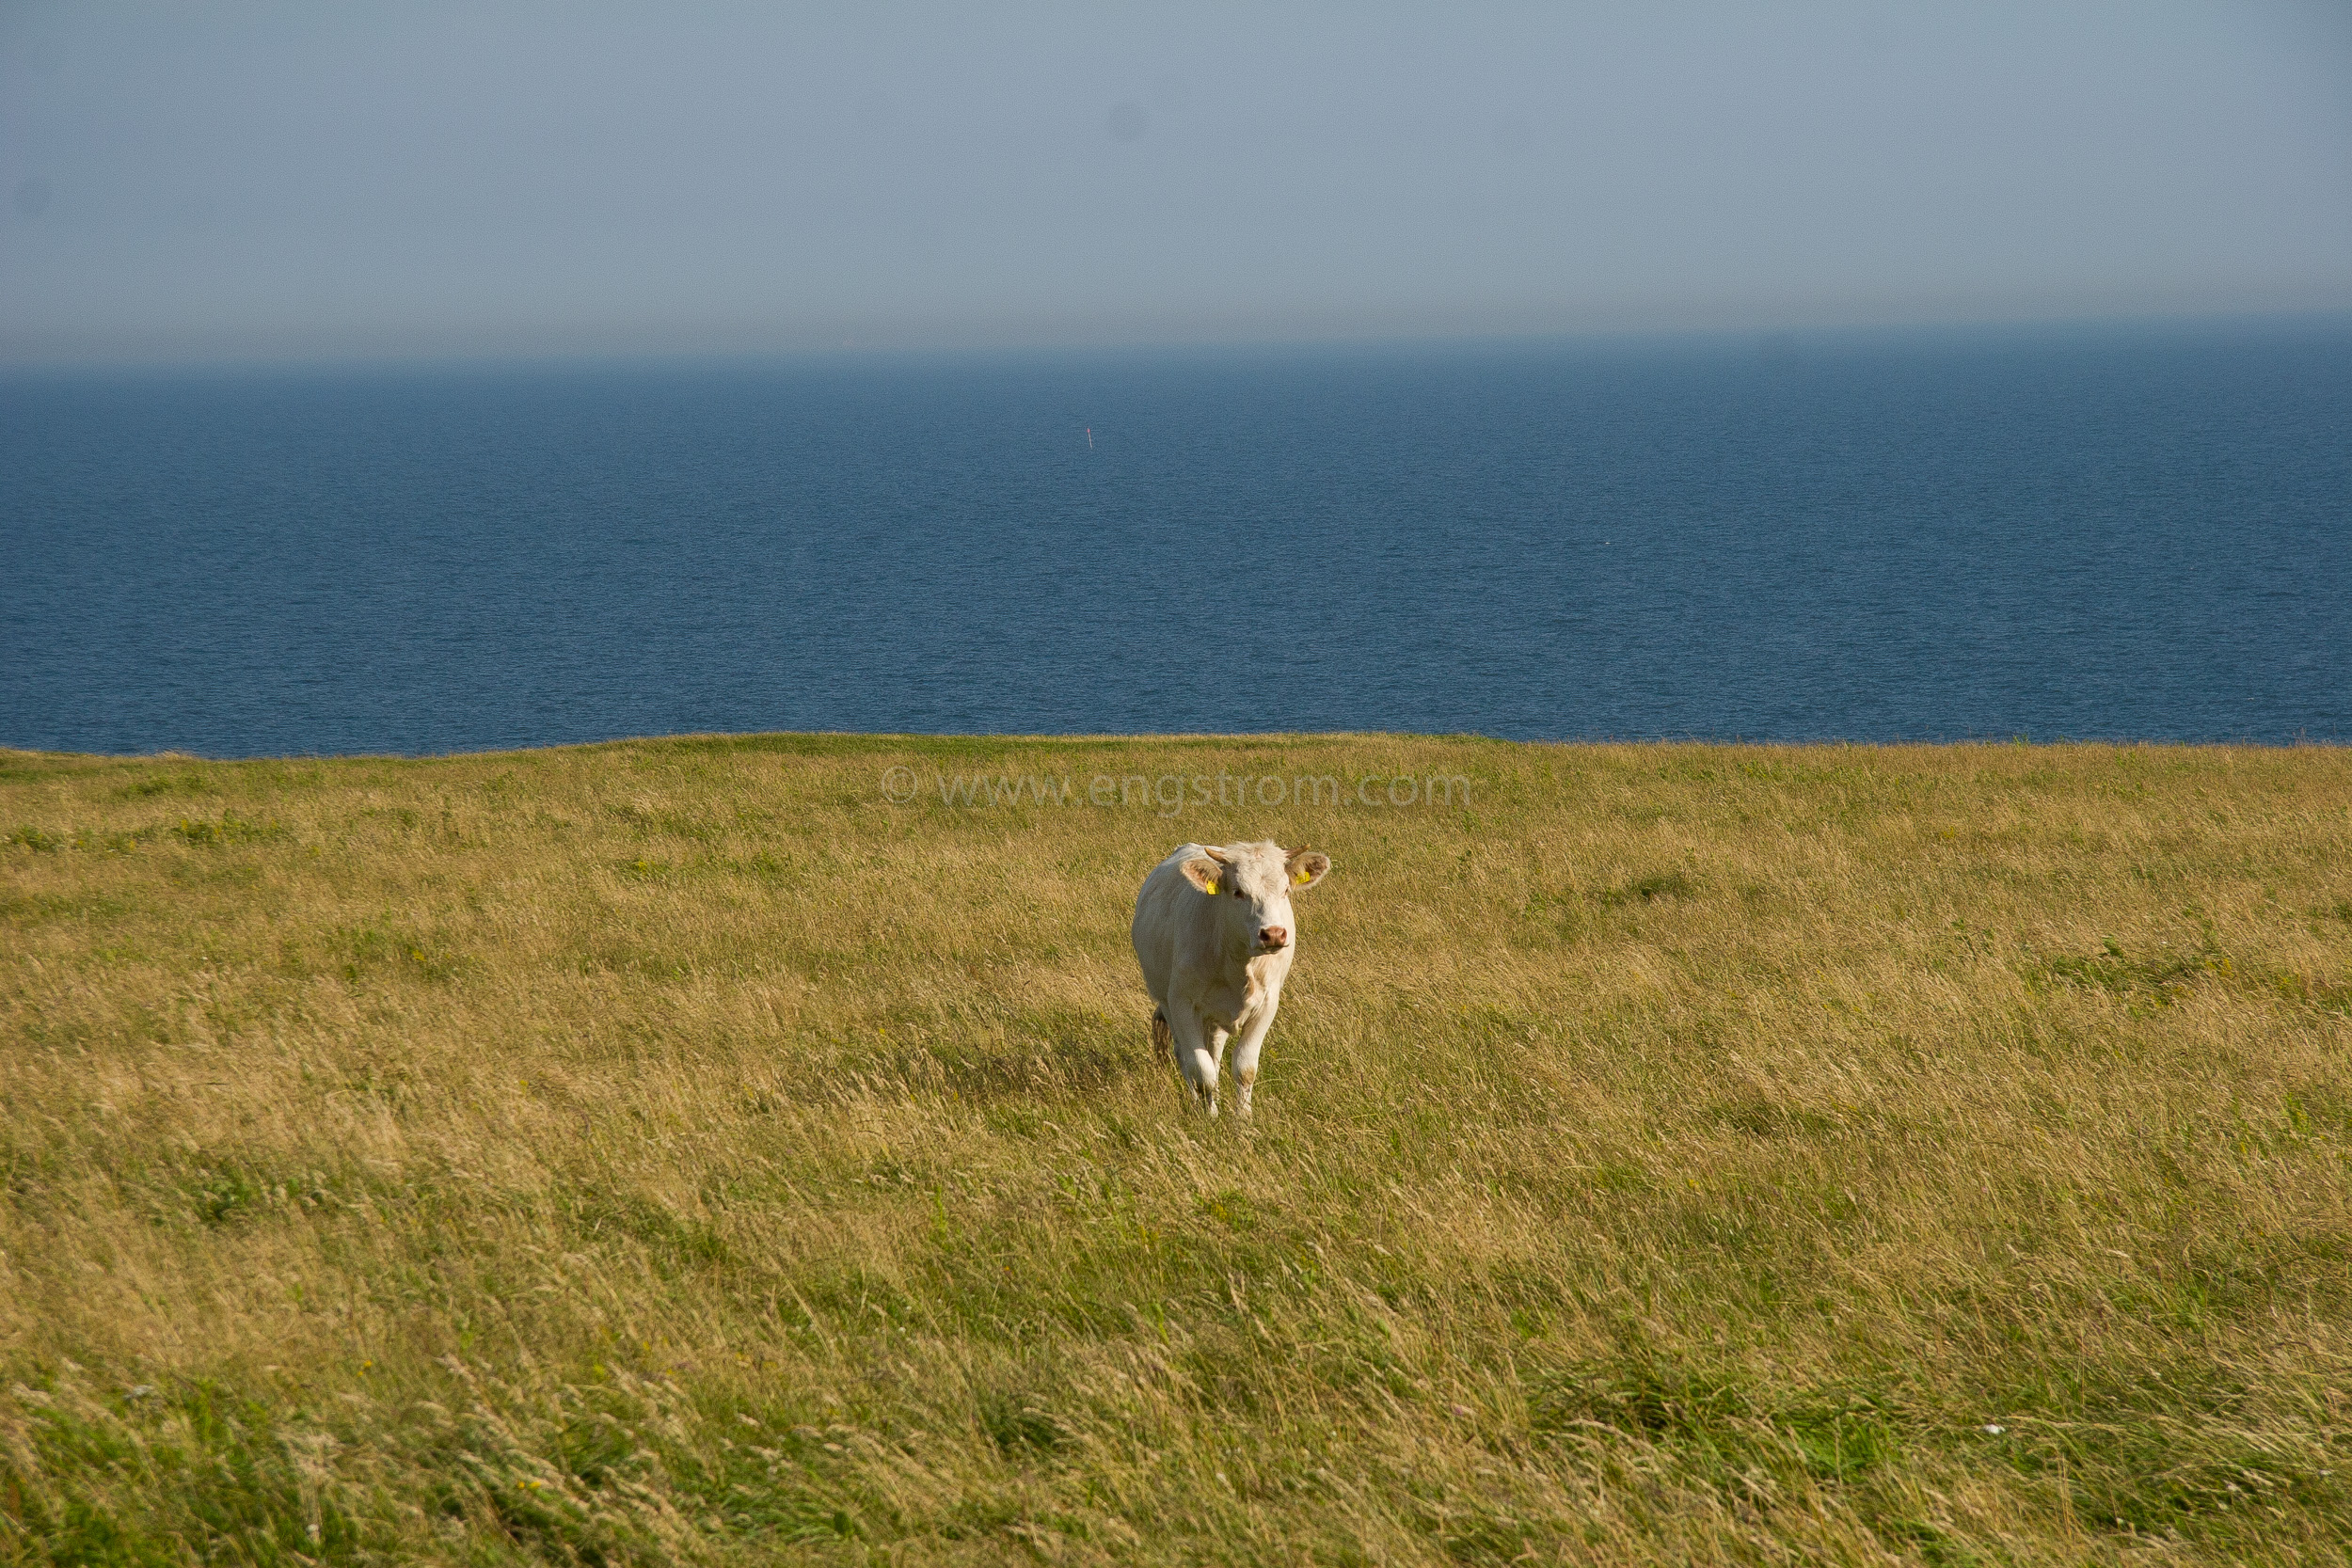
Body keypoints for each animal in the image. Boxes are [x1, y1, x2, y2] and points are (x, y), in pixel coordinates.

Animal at [1129, 846, 1336, 1114]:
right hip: (1166, 1001)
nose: (1273, 934)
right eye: (1238, 892)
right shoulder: (1182, 1003)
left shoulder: (1267, 1004)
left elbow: (1244, 1068)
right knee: (1184, 1054)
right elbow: (1200, 1069)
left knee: (1214, 1053)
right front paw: (1208, 1116)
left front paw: (1243, 1117)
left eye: (1285, 890)